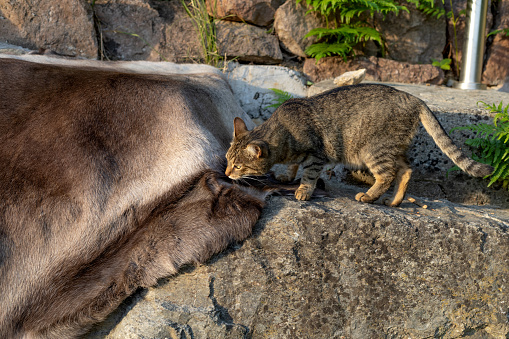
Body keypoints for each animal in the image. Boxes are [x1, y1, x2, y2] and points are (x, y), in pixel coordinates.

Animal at [225, 85, 492, 207]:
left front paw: (303, 190)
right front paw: (285, 176)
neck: (283, 131)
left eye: (238, 166)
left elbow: (309, 175)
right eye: (227, 160)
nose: (227, 174)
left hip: (373, 150)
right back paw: (394, 201)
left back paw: (369, 195)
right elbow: (292, 166)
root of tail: (415, 98)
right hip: (393, 147)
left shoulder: (316, 155)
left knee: (387, 175)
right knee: (406, 170)